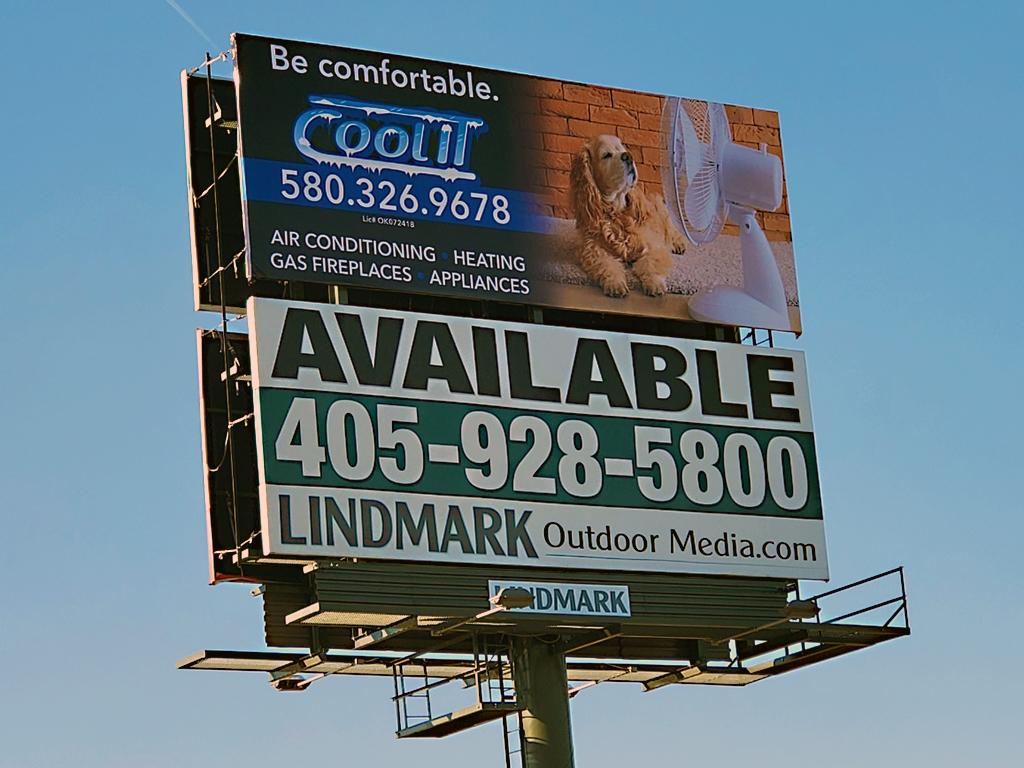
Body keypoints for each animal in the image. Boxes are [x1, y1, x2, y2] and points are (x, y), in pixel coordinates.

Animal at [570, 134, 686, 297]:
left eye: (622, 148)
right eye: (606, 155)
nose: (628, 156)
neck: (616, 211)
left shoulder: (653, 246)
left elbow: (650, 264)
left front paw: (655, 284)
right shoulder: (592, 249)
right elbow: (607, 264)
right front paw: (615, 283)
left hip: (661, 207)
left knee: (672, 229)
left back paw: (679, 243)